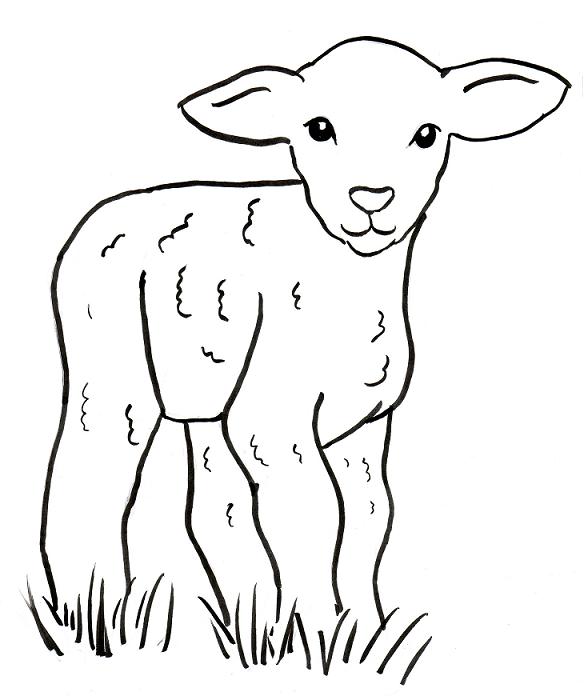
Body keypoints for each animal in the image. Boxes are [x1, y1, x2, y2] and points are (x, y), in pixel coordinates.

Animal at [40, 36, 569, 639]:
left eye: (428, 132)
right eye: (318, 128)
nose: (371, 197)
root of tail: (102, 215)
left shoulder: (365, 423)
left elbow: (369, 517)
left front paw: (365, 632)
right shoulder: (273, 416)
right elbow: (314, 512)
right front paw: (318, 630)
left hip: (205, 396)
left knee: (215, 510)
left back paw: (247, 620)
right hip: (106, 358)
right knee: (91, 473)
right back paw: (91, 612)